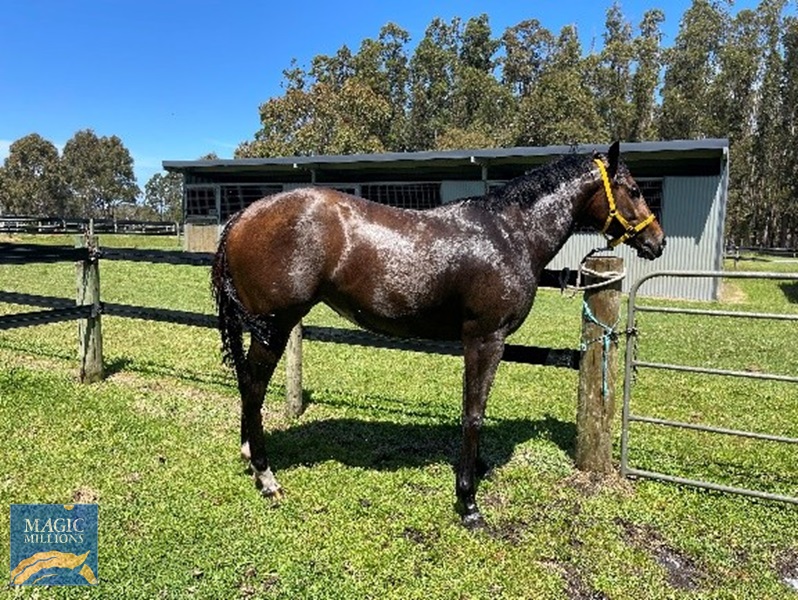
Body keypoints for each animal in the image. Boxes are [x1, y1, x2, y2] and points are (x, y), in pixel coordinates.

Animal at [211, 142, 665, 528]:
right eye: (634, 189)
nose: (657, 242)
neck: (509, 234)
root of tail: (241, 217)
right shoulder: (485, 339)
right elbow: (473, 413)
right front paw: (468, 501)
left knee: (248, 385)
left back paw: (251, 455)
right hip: (275, 327)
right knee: (253, 387)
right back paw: (266, 476)